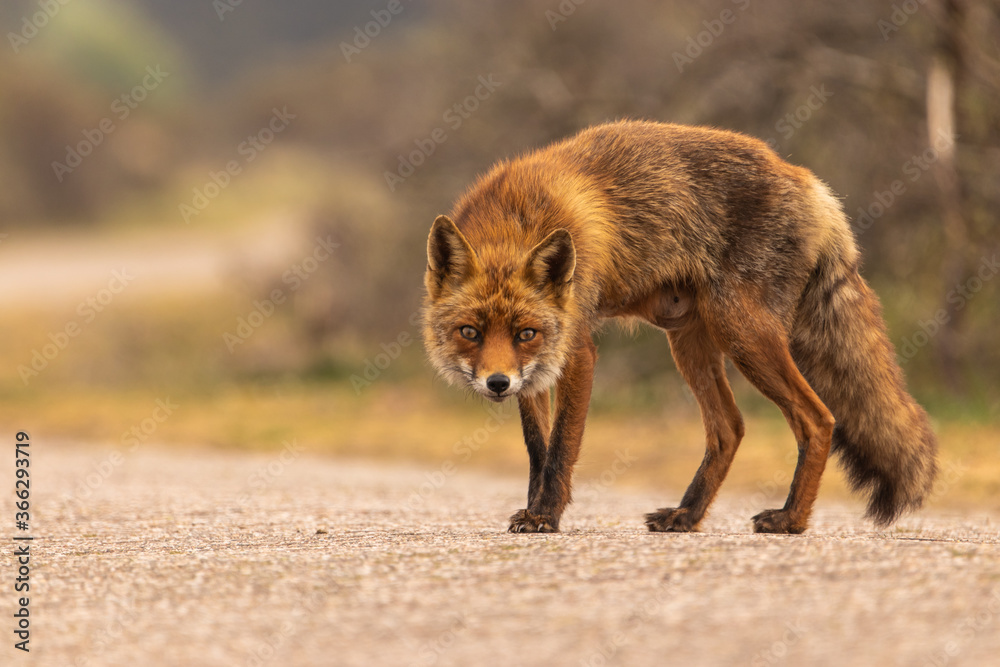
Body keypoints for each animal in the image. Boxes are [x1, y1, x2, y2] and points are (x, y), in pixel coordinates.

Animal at [422, 119, 938, 535]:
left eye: (525, 332)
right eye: (470, 332)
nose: (497, 383)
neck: (518, 220)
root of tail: (811, 183)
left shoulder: (574, 349)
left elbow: (561, 447)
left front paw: (546, 515)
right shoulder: (539, 367)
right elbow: (537, 448)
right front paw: (534, 508)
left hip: (743, 333)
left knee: (819, 418)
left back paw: (790, 519)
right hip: (689, 339)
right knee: (729, 428)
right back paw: (687, 515)